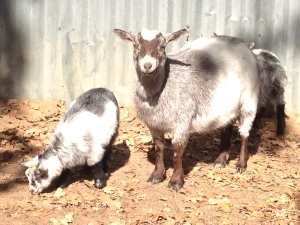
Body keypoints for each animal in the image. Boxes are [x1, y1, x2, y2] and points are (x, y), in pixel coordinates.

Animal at [113, 27, 258, 191]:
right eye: (135, 45)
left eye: (162, 46)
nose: (147, 65)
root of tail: (240, 41)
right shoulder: (154, 125)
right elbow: (159, 148)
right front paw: (157, 175)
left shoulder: (182, 122)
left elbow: (177, 152)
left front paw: (176, 181)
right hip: (226, 107)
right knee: (227, 127)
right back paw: (221, 160)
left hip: (249, 99)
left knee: (245, 132)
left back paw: (241, 164)